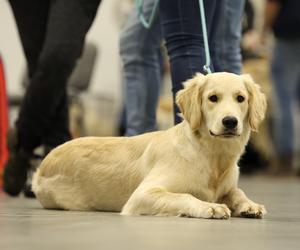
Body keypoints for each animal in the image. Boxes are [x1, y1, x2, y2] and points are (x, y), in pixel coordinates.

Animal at [32, 72, 268, 219]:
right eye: (213, 98)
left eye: (240, 98)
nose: (230, 122)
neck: (212, 157)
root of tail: (42, 166)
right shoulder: (143, 194)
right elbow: (185, 195)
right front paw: (210, 206)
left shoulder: (227, 185)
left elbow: (237, 191)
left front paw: (250, 205)